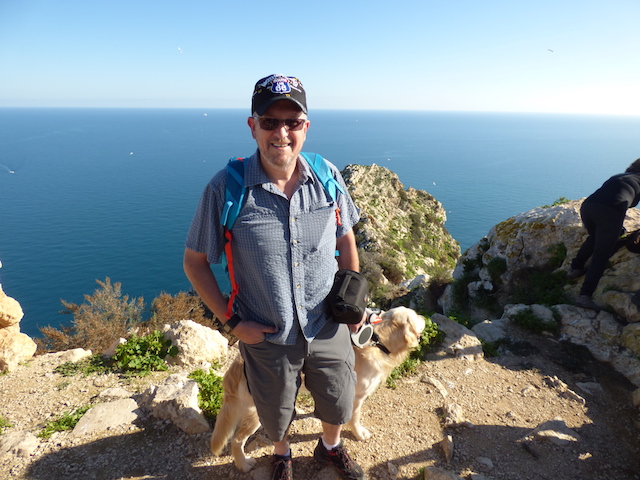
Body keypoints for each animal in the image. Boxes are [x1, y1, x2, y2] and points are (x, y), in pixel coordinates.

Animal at [210, 306, 426, 472]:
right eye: (416, 316)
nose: (425, 317)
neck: (380, 341)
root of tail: (236, 364)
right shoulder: (356, 397)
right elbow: (354, 418)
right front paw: (359, 433)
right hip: (259, 411)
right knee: (237, 440)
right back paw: (244, 464)